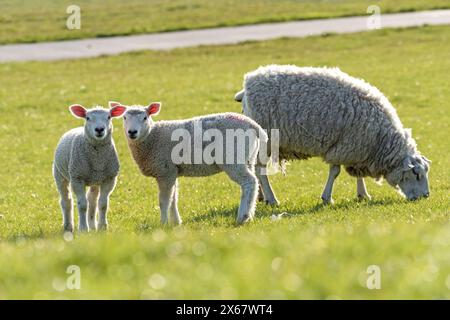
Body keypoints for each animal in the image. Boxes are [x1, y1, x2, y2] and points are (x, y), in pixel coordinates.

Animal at [111, 100, 268, 225]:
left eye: (145, 117)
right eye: (124, 117)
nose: (132, 132)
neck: (152, 137)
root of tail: (253, 125)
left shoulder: (164, 171)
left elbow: (164, 200)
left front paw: (163, 223)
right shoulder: (172, 171)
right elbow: (174, 198)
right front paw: (176, 222)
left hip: (233, 157)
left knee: (249, 182)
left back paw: (242, 217)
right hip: (248, 157)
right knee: (253, 183)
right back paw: (250, 215)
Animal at [234, 64, 430, 202]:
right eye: (416, 174)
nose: (426, 196)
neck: (380, 140)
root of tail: (247, 86)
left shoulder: (357, 150)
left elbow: (357, 174)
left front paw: (363, 195)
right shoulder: (343, 145)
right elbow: (335, 172)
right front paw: (327, 198)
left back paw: (261, 197)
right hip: (266, 140)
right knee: (260, 170)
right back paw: (272, 199)